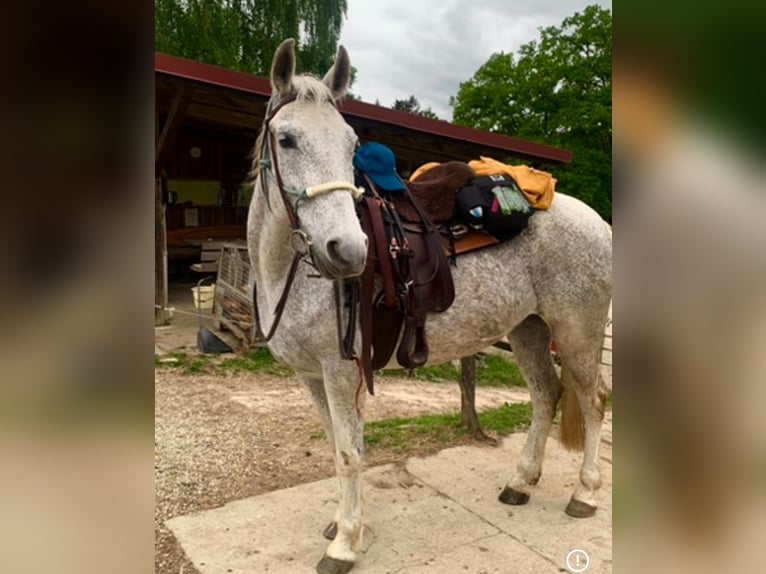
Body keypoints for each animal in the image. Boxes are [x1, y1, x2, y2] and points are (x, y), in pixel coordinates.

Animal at [249, 40, 616, 574]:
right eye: (288, 139)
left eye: (350, 143)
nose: (348, 251)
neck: (292, 272)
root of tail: (597, 221)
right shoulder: (311, 376)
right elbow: (338, 447)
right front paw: (341, 525)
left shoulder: (341, 372)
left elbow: (349, 454)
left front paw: (345, 543)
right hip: (528, 329)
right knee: (546, 395)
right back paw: (521, 482)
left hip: (578, 332)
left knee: (592, 402)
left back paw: (584, 494)